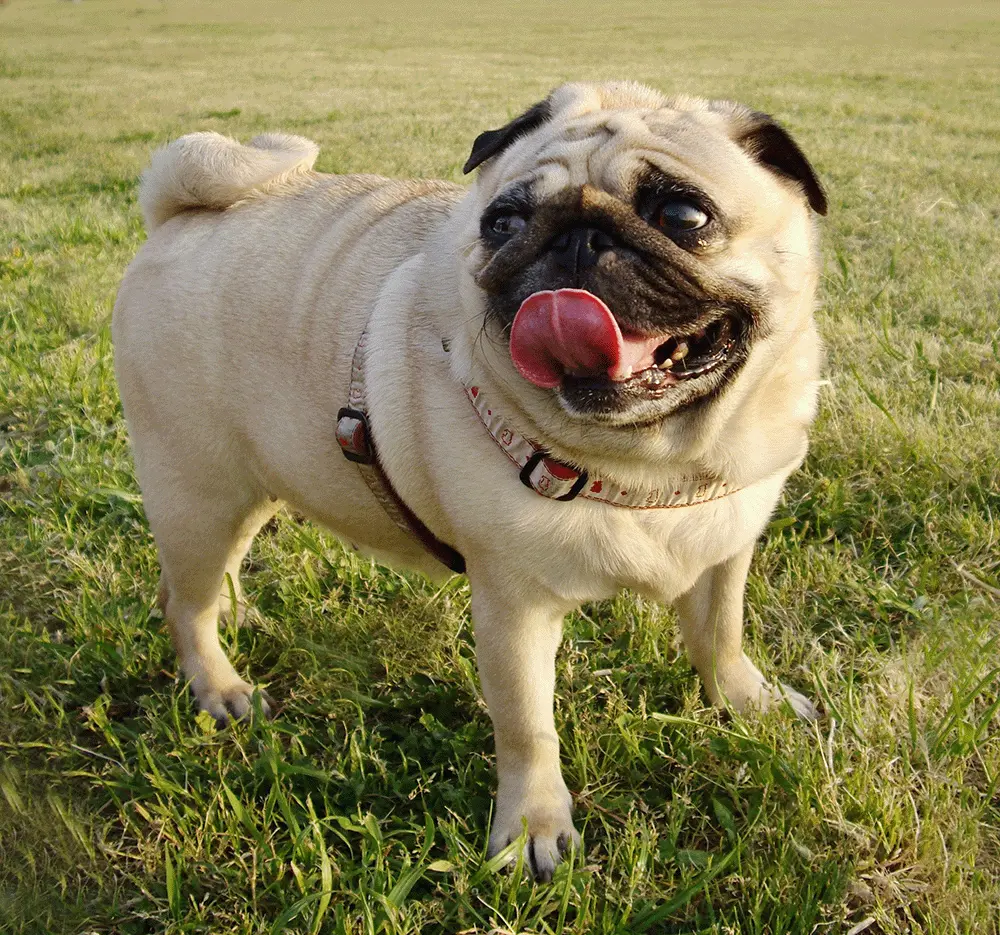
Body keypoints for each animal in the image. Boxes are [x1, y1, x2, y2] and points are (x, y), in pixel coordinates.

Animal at [111, 78, 828, 876]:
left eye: (682, 216)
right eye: (504, 222)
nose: (575, 235)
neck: (651, 464)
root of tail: (180, 215)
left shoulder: (724, 553)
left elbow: (721, 637)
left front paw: (748, 703)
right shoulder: (514, 608)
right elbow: (527, 726)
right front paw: (533, 828)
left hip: (250, 483)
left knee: (207, 578)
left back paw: (237, 614)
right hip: (199, 491)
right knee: (184, 602)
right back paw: (220, 686)